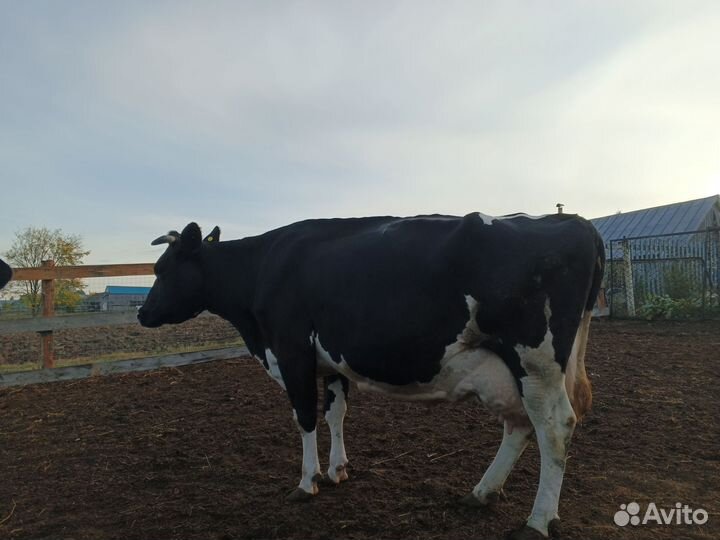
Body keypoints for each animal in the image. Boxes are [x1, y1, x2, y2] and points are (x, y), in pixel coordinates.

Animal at [138, 212, 605, 539]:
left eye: (162, 270)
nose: (142, 313)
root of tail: (575, 221)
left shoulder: (291, 351)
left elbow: (305, 418)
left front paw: (307, 481)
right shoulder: (329, 361)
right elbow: (335, 413)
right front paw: (337, 469)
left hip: (535, 361)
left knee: (554, 427)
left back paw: (538, 521)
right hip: (514, 369)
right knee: (521, 425)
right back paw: (482, 492)